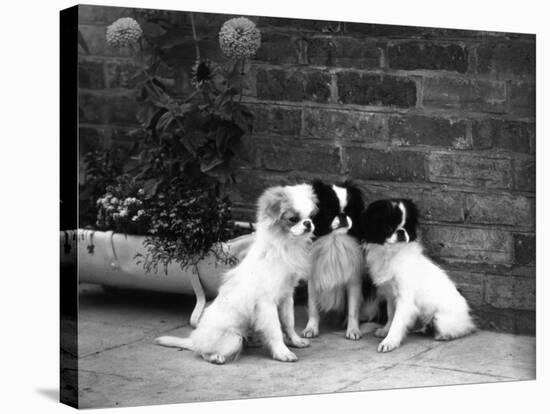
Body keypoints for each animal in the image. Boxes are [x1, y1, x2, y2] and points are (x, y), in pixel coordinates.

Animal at [155, 184, 320, 362]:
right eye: (293, 219)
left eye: (311, 216)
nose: (308, 223)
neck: (285, 246)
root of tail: (194, 339)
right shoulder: (266, 303)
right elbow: (275, 329)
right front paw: (282, 352)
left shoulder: (287, 296)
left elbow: (289, 322)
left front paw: (295, 341)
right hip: (233, 339)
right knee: (202, 351)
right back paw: (215, 357)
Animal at [304, 180, 368, 340]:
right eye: (329, 211)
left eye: (349, 211)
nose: (343, 215)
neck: (334, 242)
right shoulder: (313, 280)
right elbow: (313, 307)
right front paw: (311, 328)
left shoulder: (353, 281)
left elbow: (353, 309)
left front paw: (353, 330)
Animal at [360, 199, 476, 350]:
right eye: (388, 227)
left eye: (407, 226)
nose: (401, 231)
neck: (391, 255)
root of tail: (468, 316)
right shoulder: (391, 296)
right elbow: (391, 315)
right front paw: (385, 330)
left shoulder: (405, 299)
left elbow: (397, 321)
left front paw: (389, 341)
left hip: (441, 319)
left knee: (462, 330)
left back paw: (444, 335)